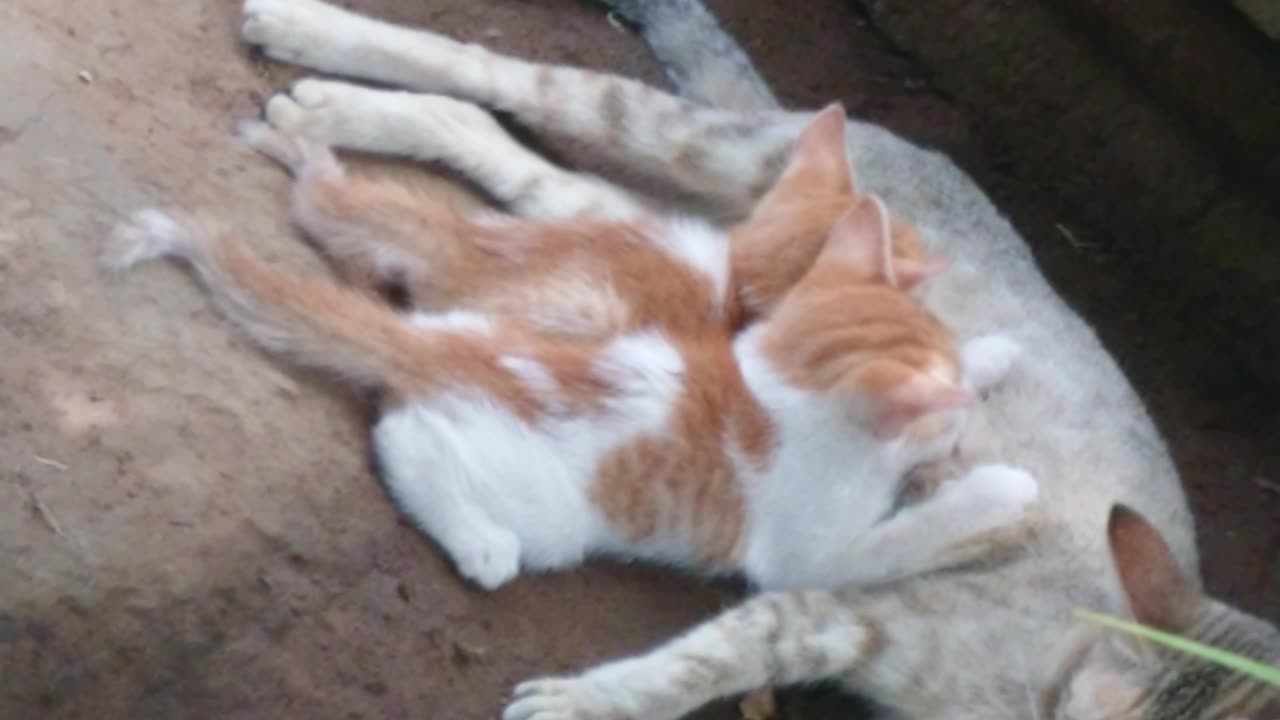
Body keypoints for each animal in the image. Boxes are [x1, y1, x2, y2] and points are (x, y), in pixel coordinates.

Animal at [104, 112, 1034, 591]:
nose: (954, 434)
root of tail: (438, 345)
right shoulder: (802, 556)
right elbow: (895, 541)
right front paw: (1001, 483)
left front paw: (990, 357)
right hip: (545, 500)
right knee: (404, 436)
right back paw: (480, 546)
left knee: (338, 211)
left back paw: (306, 153)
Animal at [222, 0, 1280, 712]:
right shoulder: (832, 596)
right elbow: (715, 655)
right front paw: (583, 701)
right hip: (694, 145)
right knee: (506, 80)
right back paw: (315, 56)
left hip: (678, 243)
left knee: (522, 166)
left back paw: (324, 118)